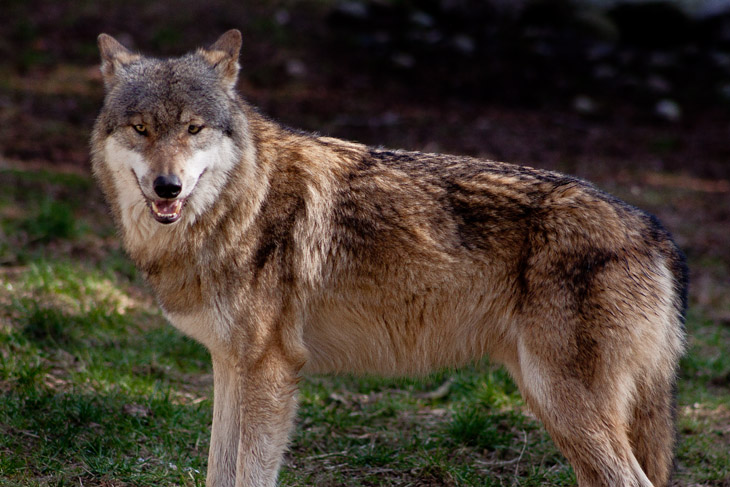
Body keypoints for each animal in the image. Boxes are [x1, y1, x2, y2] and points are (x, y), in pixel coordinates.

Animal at [89, 30, 684, 487]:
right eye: (141, 128)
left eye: (194, 128)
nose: (167, 187)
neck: (240, 205)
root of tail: (653, 231)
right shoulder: (230, 366)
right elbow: (218, 470)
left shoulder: (270, 370)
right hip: (554, 405)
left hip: (561, 402)